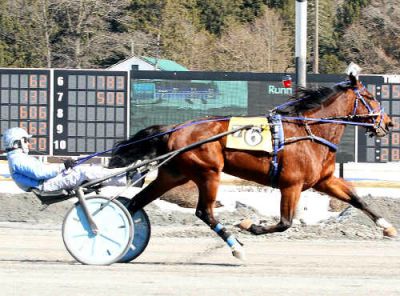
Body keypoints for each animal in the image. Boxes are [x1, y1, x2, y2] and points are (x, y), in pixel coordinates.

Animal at [108, 74, 396, 260]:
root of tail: (173, 128)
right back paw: (235, 246)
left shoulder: (324, 180)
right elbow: (285, 223)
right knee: (204, 212)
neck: (310, 132)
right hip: (208, 172)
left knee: (135, 203)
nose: (389, 123)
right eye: (369, 96)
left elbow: (357, 199)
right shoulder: (291, 185)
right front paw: (251, 226)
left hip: (174, 174)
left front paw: (388, 227)